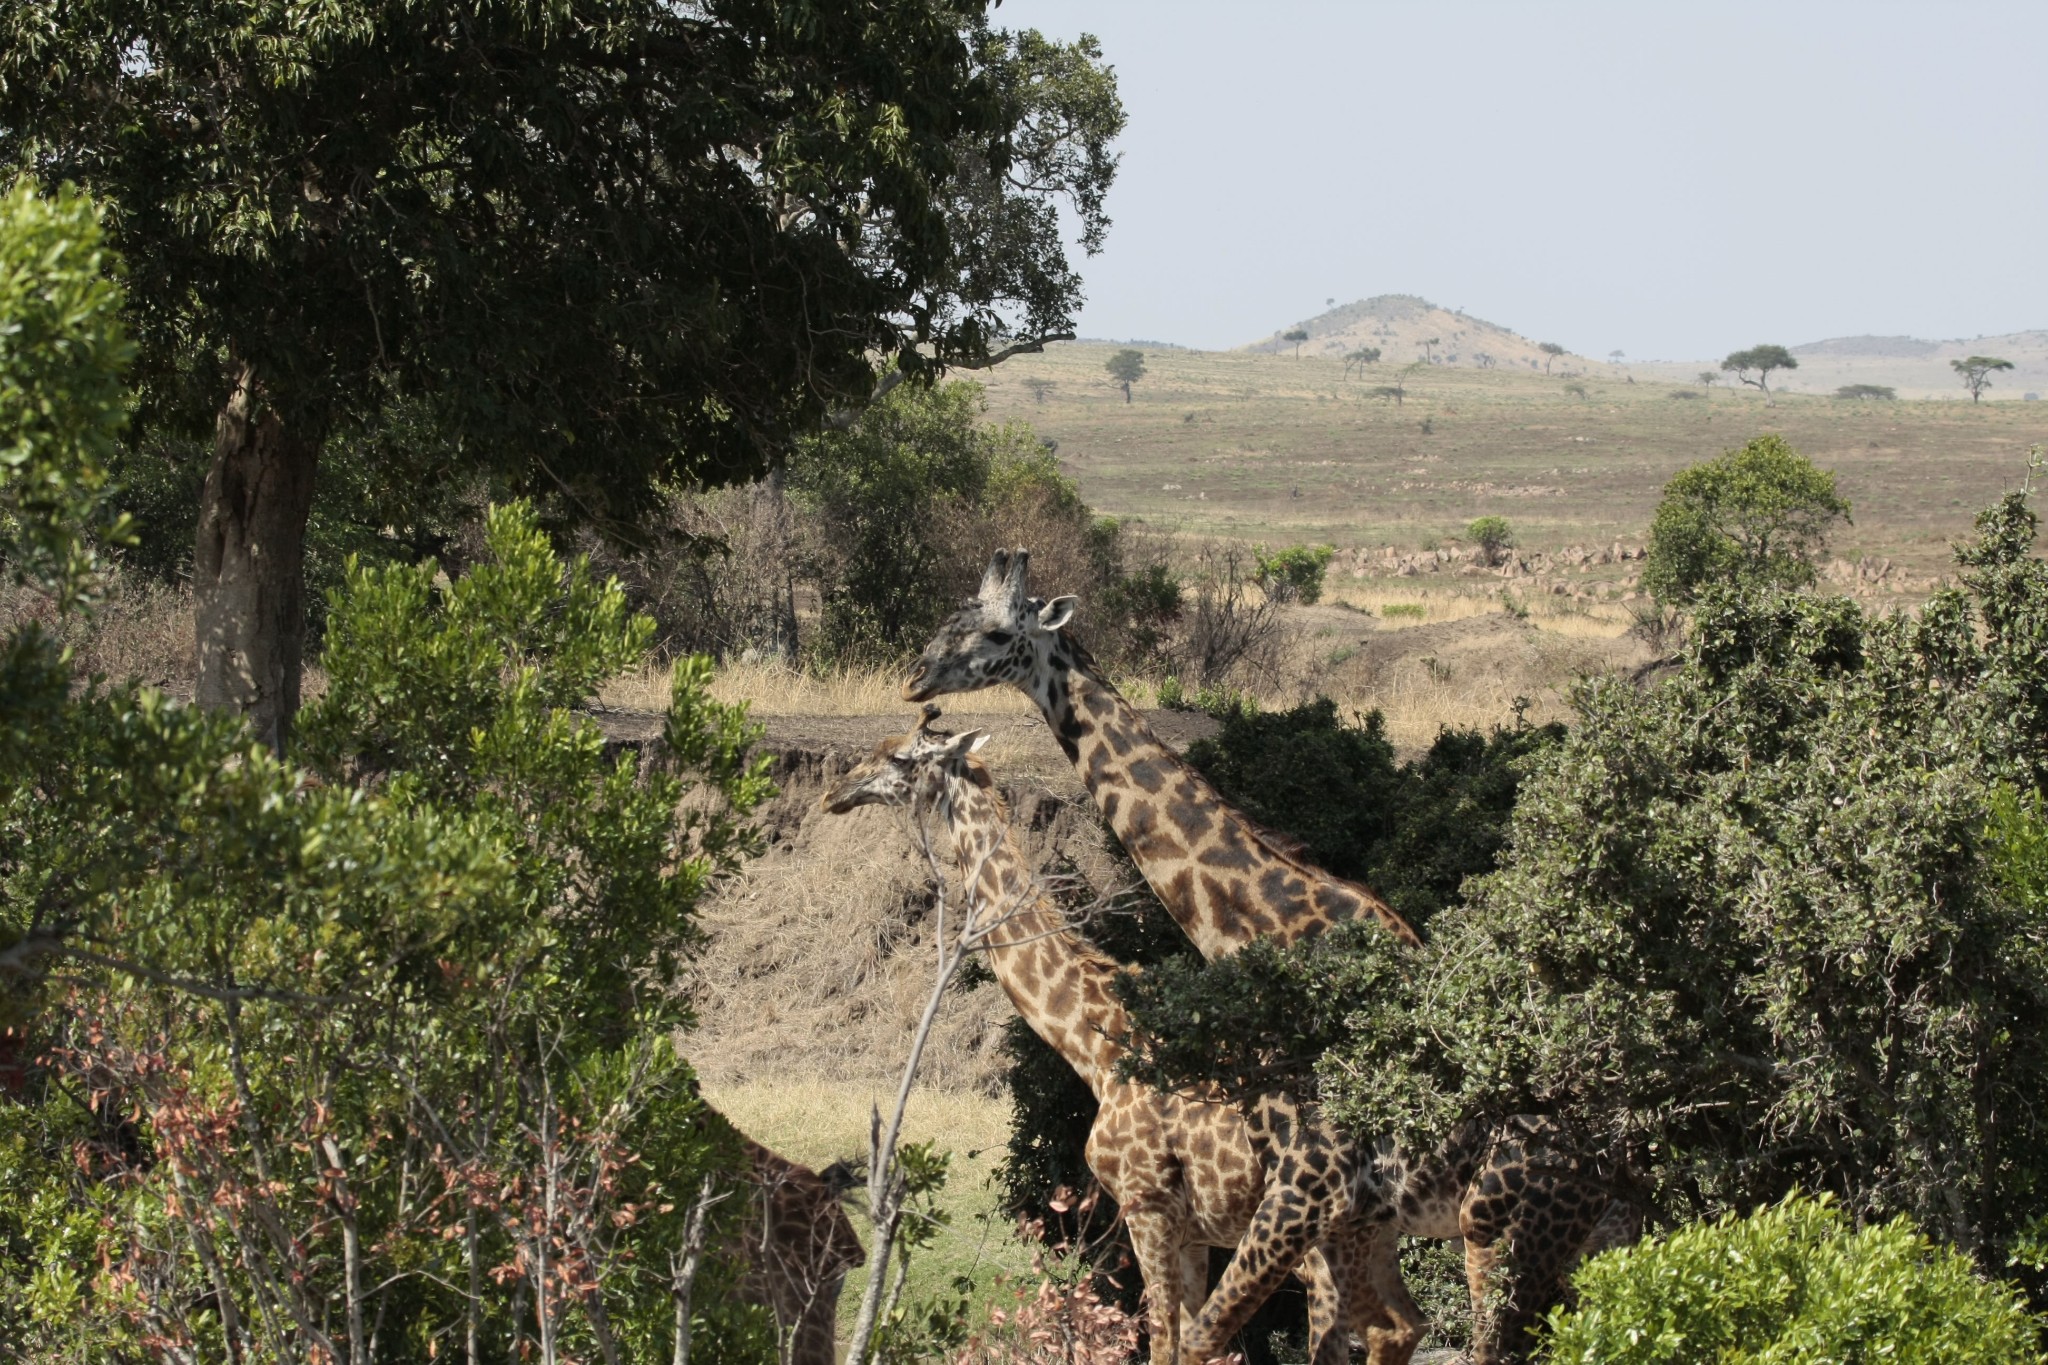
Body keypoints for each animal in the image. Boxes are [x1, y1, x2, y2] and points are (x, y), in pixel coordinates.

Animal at [815, 716, 1425, 1365]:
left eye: (900, 757)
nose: (834, 793)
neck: (1098, 1047)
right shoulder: (1194, 1232)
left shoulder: (1148, 1206)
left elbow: (1166, 1343)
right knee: (1396, 1324)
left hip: (1317, 1229)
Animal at [901, 548, 1630, 1358]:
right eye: (952, 616)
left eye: (998, 631)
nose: (915, 678)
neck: (1274, 935)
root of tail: (1616, 1154)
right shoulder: (1328, 1203)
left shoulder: (1308, 1181)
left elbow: (1202, 1338)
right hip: (1569, 1241)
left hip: (1497, 1226)